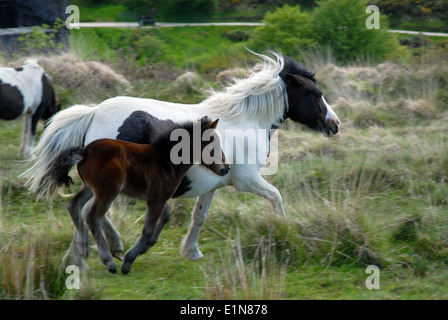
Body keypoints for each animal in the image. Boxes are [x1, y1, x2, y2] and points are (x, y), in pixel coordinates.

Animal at [21, 51, 340, 268]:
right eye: (316, 93)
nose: (335, 124)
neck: (245, 121)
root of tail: (94, 112)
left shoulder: (213, 184)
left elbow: (199, 217)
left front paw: (191, 251)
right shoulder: (247, 180)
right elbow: (277, 198)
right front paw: (285, 236)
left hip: (98, 182)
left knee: (78, 207)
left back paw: (83, 255)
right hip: (110, 183)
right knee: (90, 210)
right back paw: (105, 251)